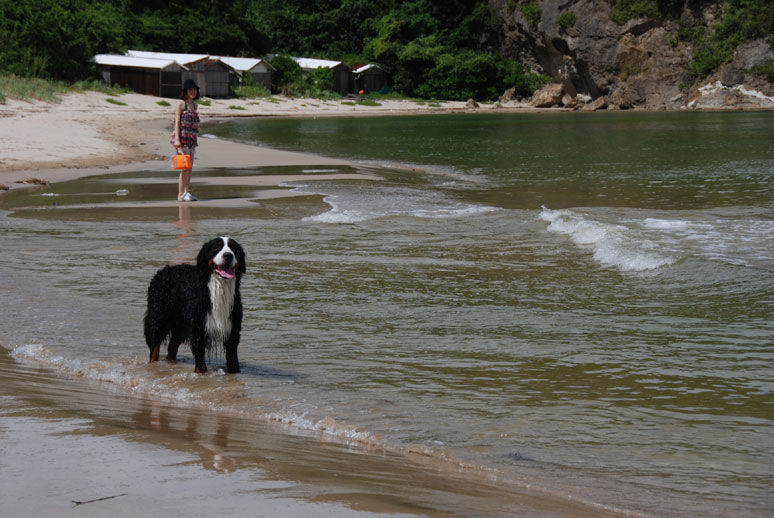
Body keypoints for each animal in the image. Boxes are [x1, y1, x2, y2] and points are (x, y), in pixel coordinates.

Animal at [142, 238, 246, 376]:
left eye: (233, 248)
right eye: (216, 247)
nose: (228, 255)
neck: (219, 288)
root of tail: (163, 270)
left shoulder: (233, 327)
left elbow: (232, 358)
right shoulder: (198, 326)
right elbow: (200, 357)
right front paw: (201, 374)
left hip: (180, 323)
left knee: (172, 347)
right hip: (158, 317)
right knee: (155, 347)